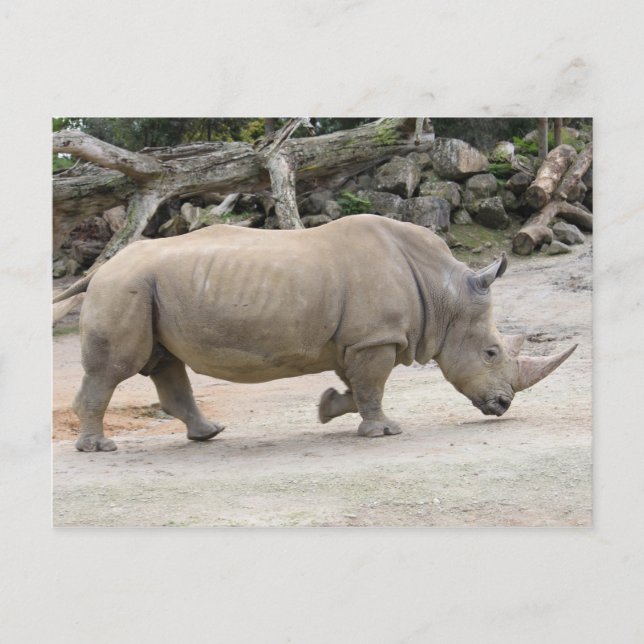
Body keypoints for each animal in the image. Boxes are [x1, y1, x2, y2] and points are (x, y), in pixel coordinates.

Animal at [54, 214, 576, 452]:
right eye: (491, 353)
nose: (502, 406)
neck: (444, 292)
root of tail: (99, 270)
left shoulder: (359, 339)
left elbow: (357, 386)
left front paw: (327, 408)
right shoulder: (375, 338)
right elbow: (372, 387)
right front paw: (385, 432)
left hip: (144, 289)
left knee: (165, 362)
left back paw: (209, 434)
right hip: (126, 288)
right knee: (116, 368)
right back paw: (100, 449)